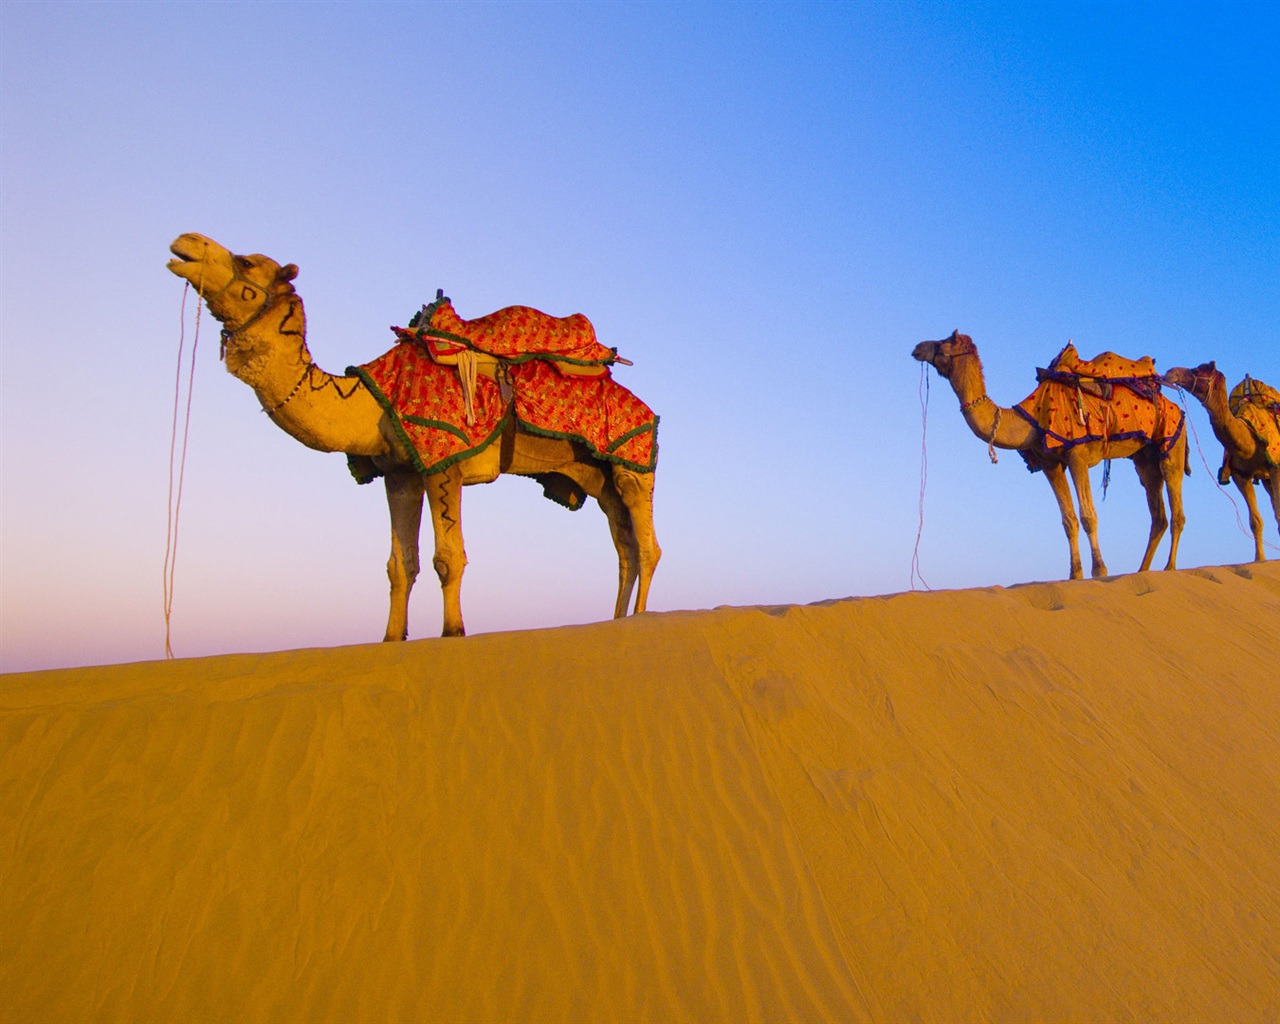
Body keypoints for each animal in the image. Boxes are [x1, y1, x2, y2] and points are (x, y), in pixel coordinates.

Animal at [167, 232, 660, 639]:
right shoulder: (400, 471)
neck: (370, 400)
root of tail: (646, 406)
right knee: (624, 547)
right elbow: (399, 566)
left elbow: (448, 558)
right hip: (594, 475)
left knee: (647, 546)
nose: (184, 242)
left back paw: (639, 618)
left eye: (246, 262)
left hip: (633, 464)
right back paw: (617, 619)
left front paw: (452, 632)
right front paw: (391, 638)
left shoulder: (444, 461)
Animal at [912, 331, 1187, 580]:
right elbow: (1068, 521)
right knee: (1157, 512)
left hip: (1172, 440)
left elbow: (1088, 516)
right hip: (1144, 458)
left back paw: (1170, 568)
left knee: (1176, 507)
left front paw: (1099, 571)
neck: (1030, 418)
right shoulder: (1050, 463)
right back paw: (1143, 571)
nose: (917, 347)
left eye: (944, 341)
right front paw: (1074, 575)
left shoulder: (1077, 455)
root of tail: (1174, 405)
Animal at [1164, 363, 1280, 561]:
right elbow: (1255, 521)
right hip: (1265, 479)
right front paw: (1259, 559)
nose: (1171, 372)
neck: (1250, 440)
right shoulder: (1240, 475)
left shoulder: (1275, 466)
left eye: (1197, 370)